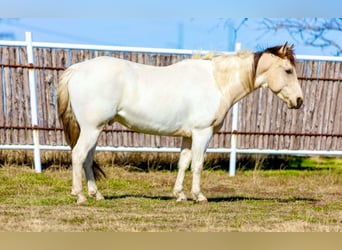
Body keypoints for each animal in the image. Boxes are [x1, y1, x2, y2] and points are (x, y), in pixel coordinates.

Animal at [57, 42, 304, 204]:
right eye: (288, 70)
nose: (299, 101)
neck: (217, 82)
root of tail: (76, 69)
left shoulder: (187, 136)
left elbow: (183, 163)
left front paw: (180, 195)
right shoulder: (203, 133)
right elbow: (198, 164)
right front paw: (199, 196)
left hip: (94, 130)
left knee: (88, 160)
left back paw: (96, 194)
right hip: (91, 129)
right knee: (78, 156)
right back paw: (80, 196)